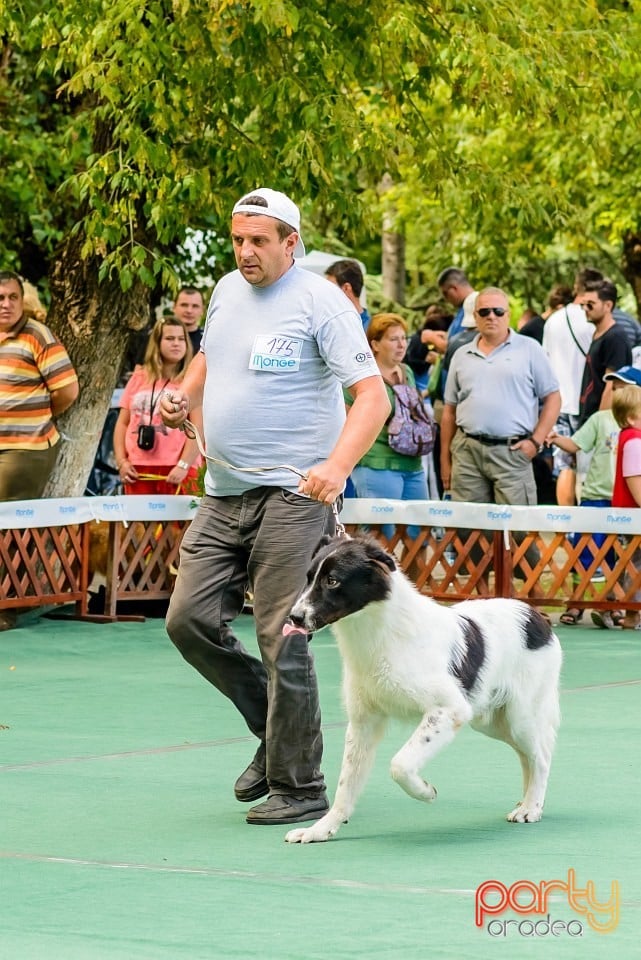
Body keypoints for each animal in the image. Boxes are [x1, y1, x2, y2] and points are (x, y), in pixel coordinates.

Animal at [284, 536, 560, 844]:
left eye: (332, 581)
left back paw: (532, 807)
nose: (294, 617)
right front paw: (321, 829)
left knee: (541, 757)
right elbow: (346, 785)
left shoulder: (448, 710)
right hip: (493, 722)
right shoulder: (363, 723)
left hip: (519, 717)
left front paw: (425, 792)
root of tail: (537, 616)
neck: (380, 633)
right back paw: (527, 802)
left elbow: (400, 764)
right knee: (527, 756)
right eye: (309, 578)